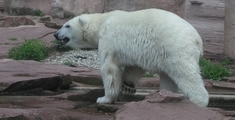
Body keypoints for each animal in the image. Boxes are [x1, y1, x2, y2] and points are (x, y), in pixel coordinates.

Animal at [54, 8, 208, 106]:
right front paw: (127, 86)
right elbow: (135, 66)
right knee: (168, 76)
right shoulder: (139, 51)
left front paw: (104, 98)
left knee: (185, 73)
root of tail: (197, 39)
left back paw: (198, 101)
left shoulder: (108, 40)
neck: (102, 21)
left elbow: (109, 69)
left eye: (67, 25)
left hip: (175, 46)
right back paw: (166, 95)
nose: (55, 34)